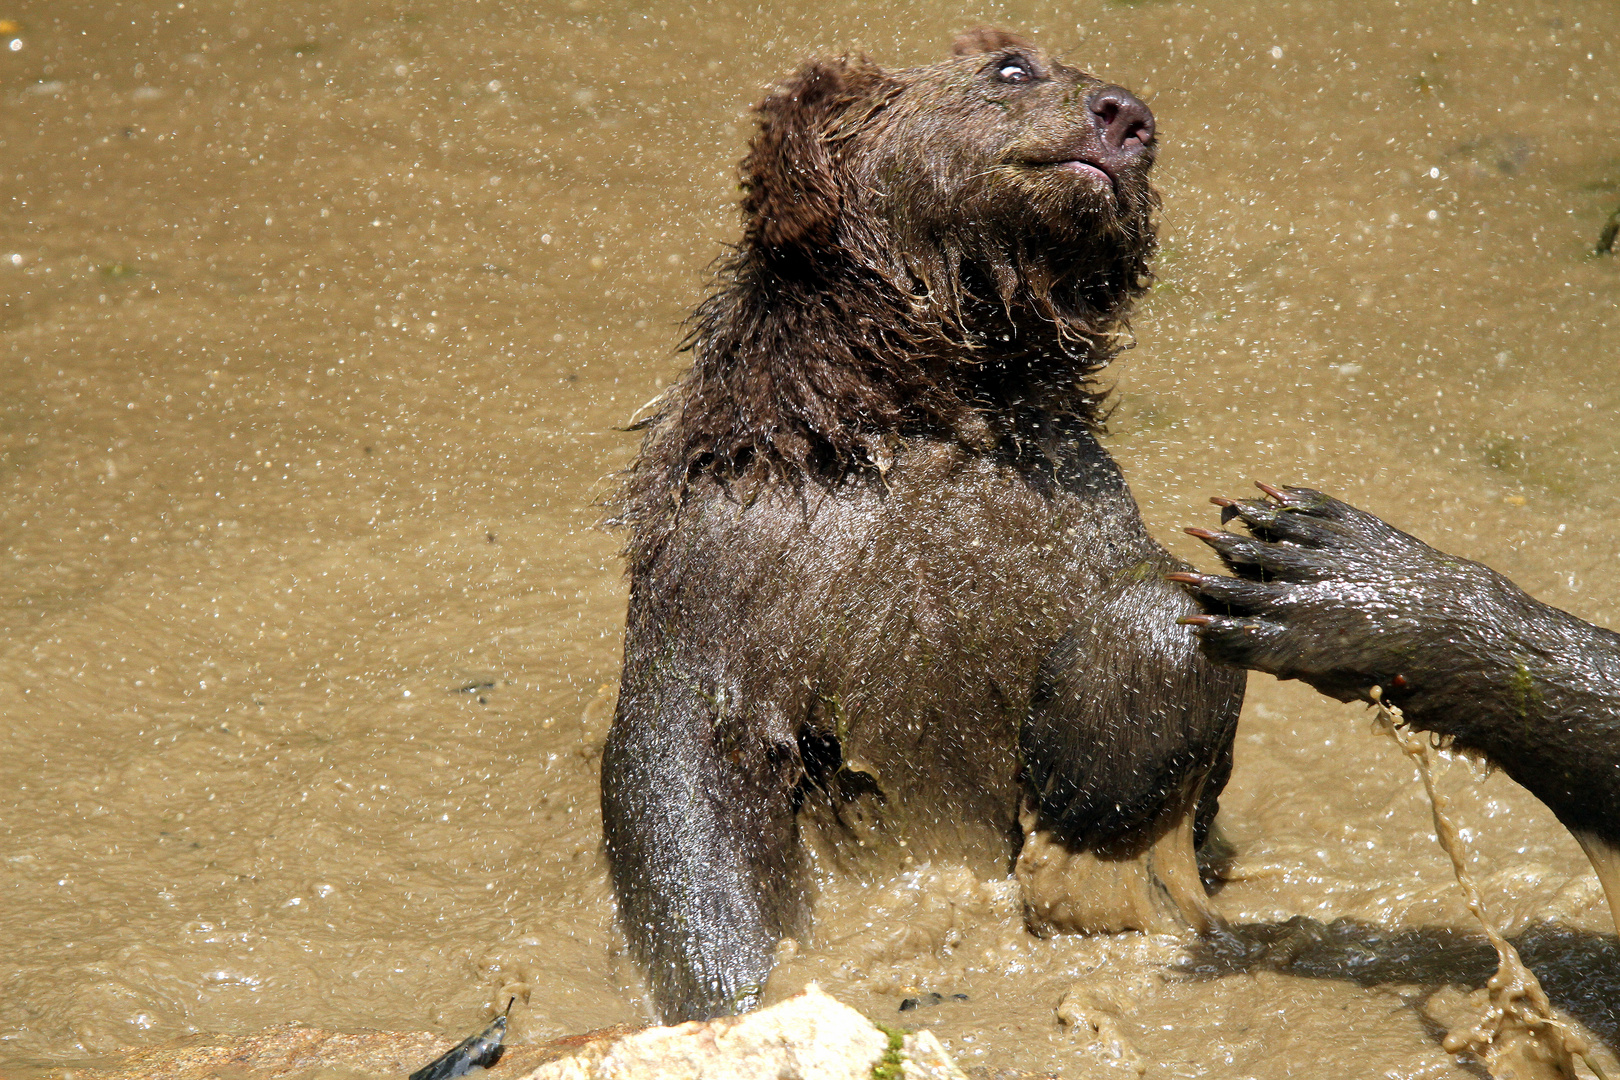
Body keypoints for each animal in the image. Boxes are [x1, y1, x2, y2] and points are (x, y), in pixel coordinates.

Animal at [602, 25, 1244, 1023]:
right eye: (1011, 67)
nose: (1127, 116)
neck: (928, 403)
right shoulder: (744, 555)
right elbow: (689, 765)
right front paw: (739, 984)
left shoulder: (1064, 512)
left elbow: (1173, 608)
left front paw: (1086, 787)